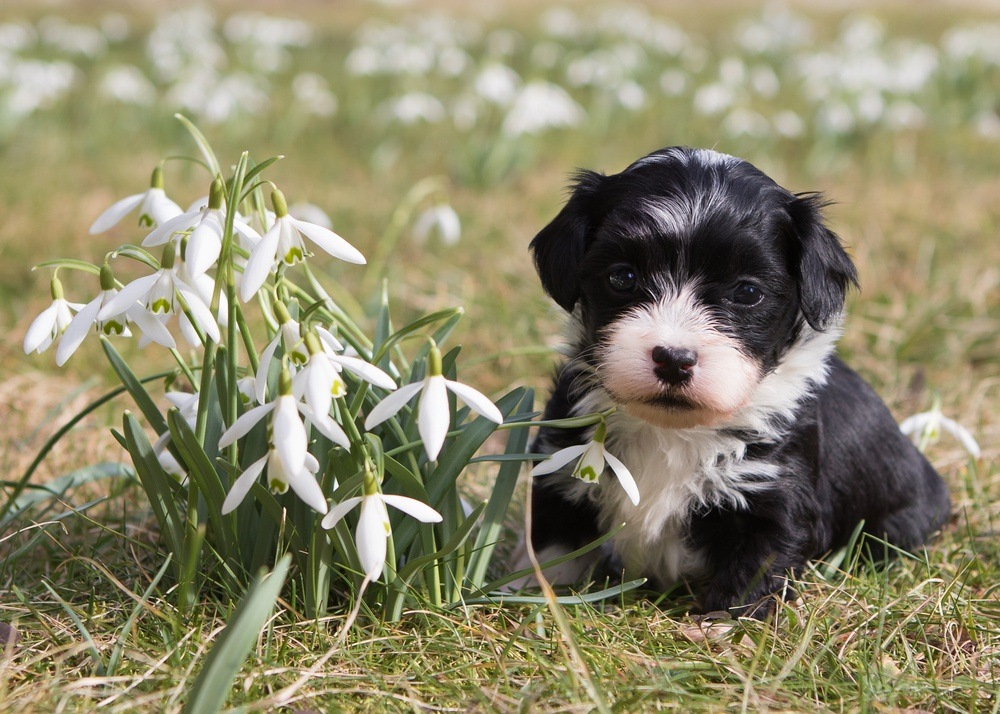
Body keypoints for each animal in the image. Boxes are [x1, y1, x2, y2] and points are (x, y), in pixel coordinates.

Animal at [520, 147, 948, 616]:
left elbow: (751, 574)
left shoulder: (771, 492)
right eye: (623, 277)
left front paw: (721, 627)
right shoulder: (562, 462)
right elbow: (555, 547)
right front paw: (536, 597)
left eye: (747, 292)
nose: (674, 359)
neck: (673, 431)